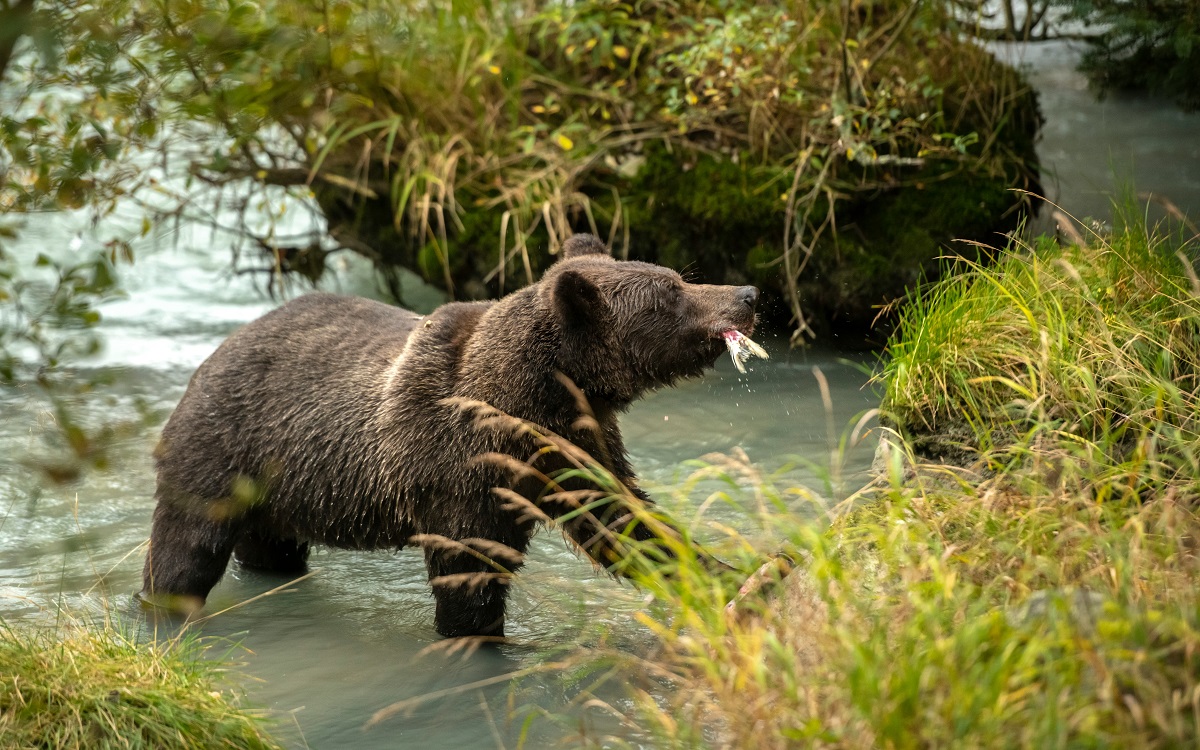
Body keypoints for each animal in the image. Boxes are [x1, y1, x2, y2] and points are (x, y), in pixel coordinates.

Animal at [142, 232, 758, 633]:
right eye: (671, 292)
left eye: (678, 277)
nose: (748, 295)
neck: (532, 398)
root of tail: (216, 351)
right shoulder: (458, 466)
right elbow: (470, 568)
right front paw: (477, 635)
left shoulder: (575, 446)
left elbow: (625, 523)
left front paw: (736, 574)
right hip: (224, 447)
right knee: (185, 549)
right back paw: (160, 607)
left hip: (279, 486)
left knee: (270, 548)